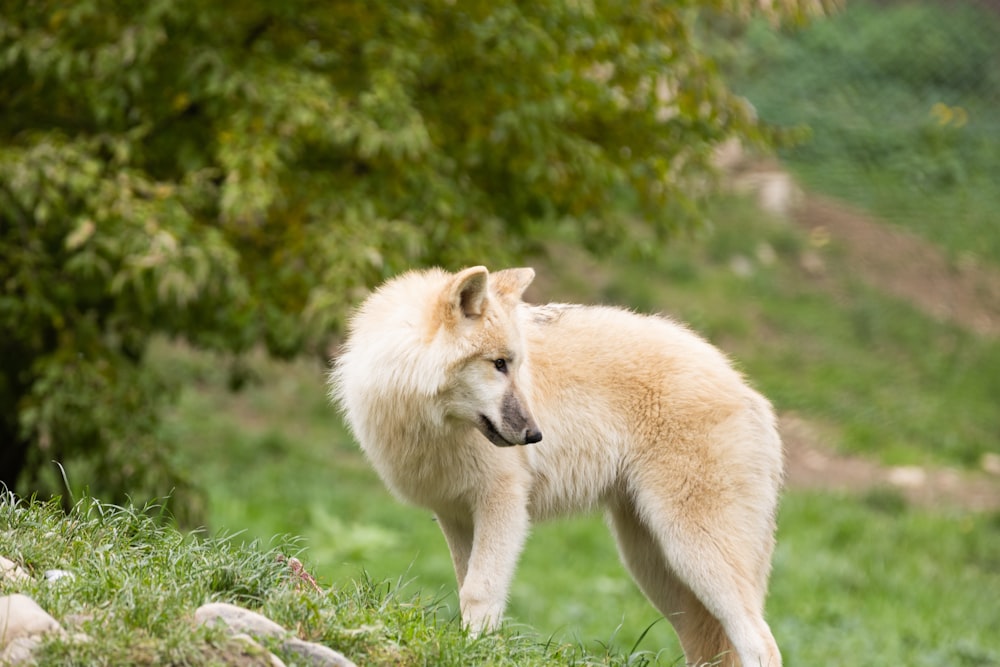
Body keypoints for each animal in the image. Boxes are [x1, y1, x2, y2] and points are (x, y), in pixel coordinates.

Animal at [332, 266, 784, 667]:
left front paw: (476, 651)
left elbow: (480, 591)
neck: (428, 423)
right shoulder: (454, 515)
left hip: (693, 551)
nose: (535, 435)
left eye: (515, 364)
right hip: (655, 567)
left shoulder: (504, 507)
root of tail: (750, 392)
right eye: (498, 364)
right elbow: (464, 587)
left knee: (762, 642)